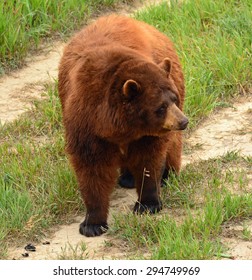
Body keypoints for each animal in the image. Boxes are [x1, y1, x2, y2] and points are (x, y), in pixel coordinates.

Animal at [58, 14, 188, 236]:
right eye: (161, 107)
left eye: (174, 98)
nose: (183, 121)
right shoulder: (85, 122)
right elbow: (91, 167)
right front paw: (92, 224)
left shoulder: (147, 133)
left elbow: (148, 158)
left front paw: (147, 204)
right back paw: (127, 177)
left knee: (171, 143)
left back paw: (166, 174)